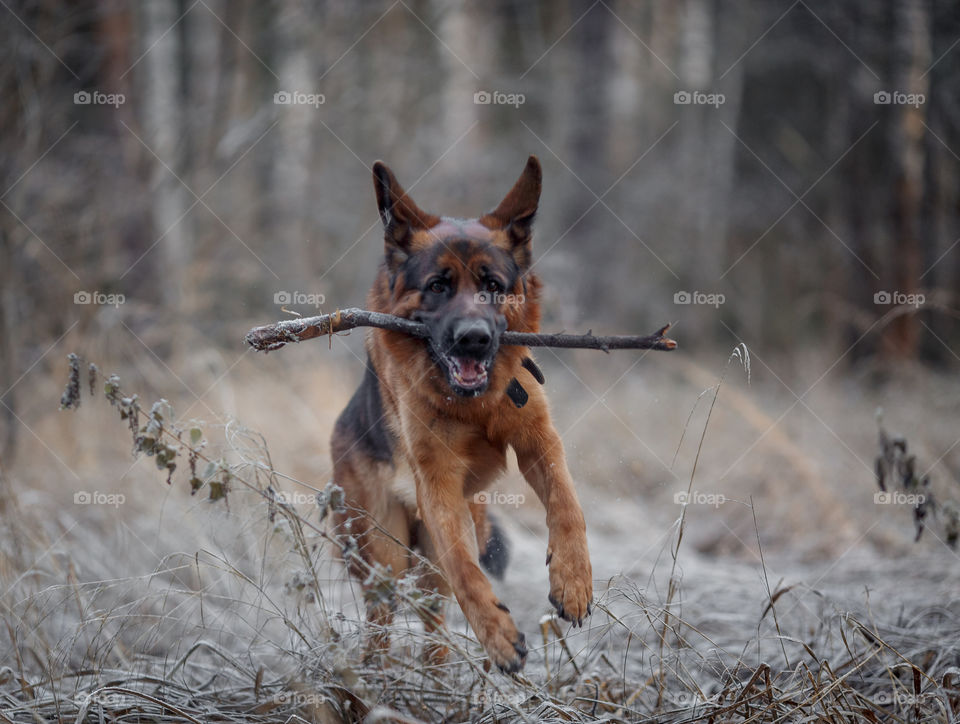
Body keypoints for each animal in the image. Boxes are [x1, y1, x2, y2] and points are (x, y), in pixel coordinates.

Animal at [332, 154, 592, 672]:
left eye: (493, 286)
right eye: (438, 286)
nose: (473, 338)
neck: (476, 405)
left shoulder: (539, 440)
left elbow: (567, 504)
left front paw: (573, 580)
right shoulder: (437, 483)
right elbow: (465, 568)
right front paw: (497, 634)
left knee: (433, 615)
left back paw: (435, 672)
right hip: (387, 546)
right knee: (386, 612)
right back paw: (378, 673)